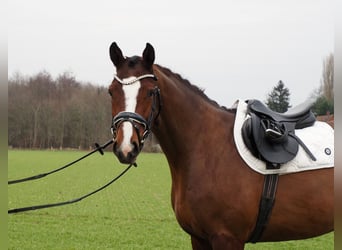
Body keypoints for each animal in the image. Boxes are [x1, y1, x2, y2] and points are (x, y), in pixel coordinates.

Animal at [107, 42, 334, 249]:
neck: (206, 148)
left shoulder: (227, 238)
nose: (126, 148)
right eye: (111, 91)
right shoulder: (199, 238)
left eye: (150, 92)